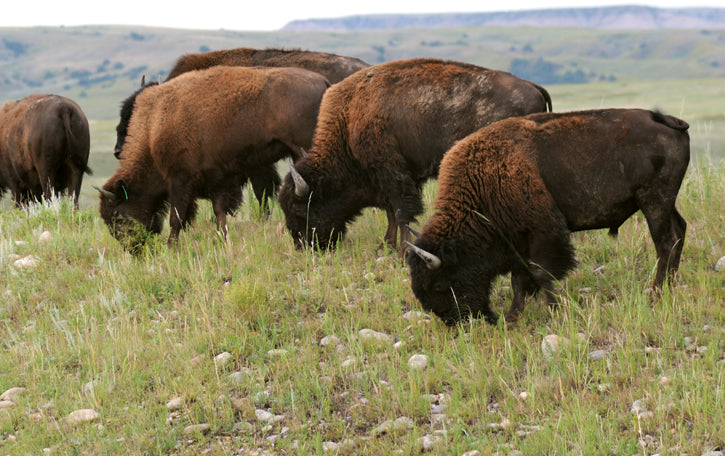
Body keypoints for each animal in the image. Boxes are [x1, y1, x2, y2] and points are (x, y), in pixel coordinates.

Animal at [97, 65, 330, 249]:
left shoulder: (180, 181)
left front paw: (171, 248)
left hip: (303, 148)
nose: (131, 248)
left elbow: (177, 217)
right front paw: (223, 241)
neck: (153, 130)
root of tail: (323, 83)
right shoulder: (218, 179)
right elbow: (219, 213)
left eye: (117, 215)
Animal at [280, 57, 552, 253]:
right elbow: (392, 213)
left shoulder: (393, 174)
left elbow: (402, 212)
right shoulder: (395, 178)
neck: (350, 118)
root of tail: (533, 87)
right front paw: (387, 246)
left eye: (300, 210)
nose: (303, 246)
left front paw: (402, 251)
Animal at [408, 109, 692, 326]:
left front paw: (553, 310)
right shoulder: (518, 243)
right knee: (679, 232)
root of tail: (668, 121)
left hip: (654, 202)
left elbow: (541, 273)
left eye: (440, 285)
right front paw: (513, 317)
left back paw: (656, 294)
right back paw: (669, 286)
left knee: (665, 244)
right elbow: (520, 280)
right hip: (663, 204)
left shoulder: (542, 233)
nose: (456, 322)